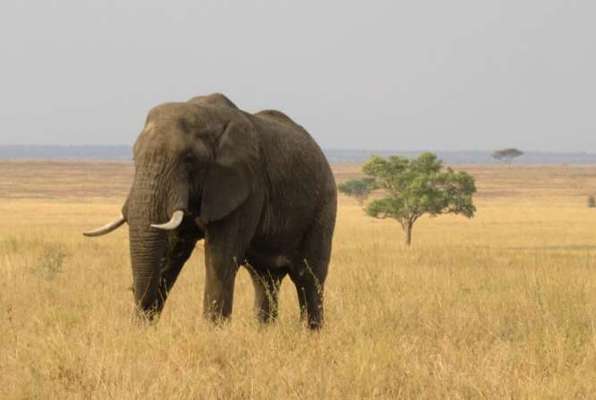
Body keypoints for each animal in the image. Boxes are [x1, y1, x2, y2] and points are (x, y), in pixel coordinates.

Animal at [84, 93, 338, 328]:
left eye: (189, 159)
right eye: (134, 158)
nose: (139, 318)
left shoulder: (245, 188)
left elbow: (221, 257)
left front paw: (213, 332)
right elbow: (171, 252)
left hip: (323, 207)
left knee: (309, 277)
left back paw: (311, 333)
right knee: (264, 279)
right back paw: (264, 331)